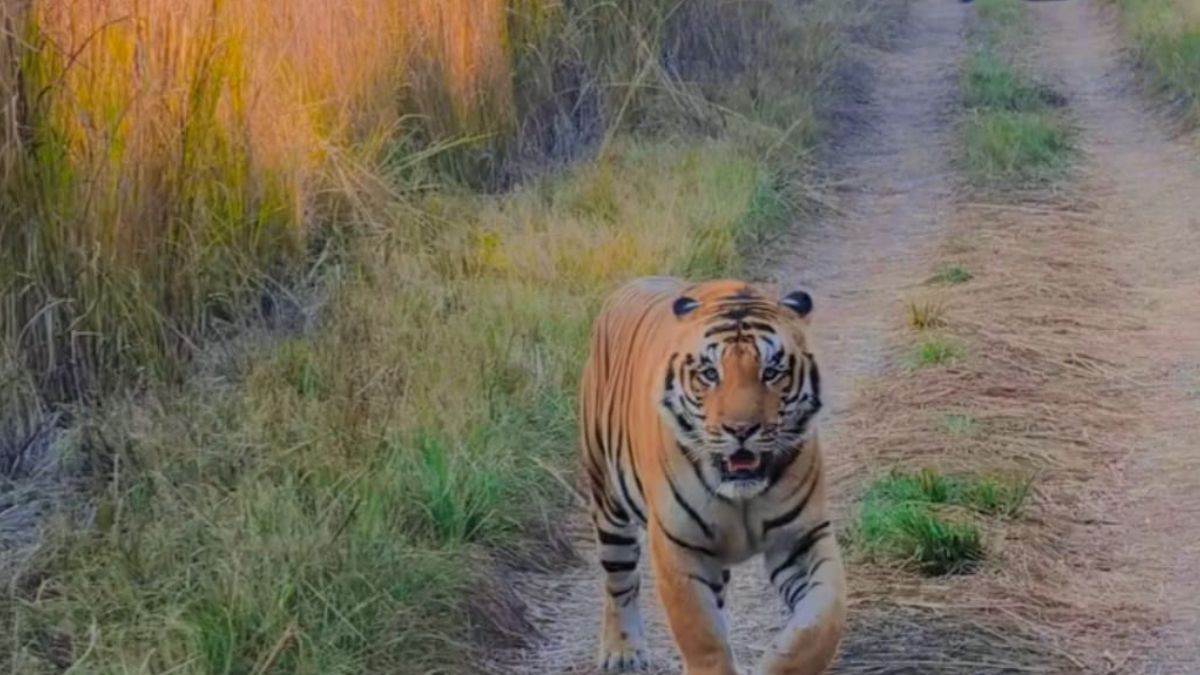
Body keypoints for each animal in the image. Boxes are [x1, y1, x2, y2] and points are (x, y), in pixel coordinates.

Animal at [579, 277, 845, 675]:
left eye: (771, 372)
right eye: (709, 374)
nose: (741, 429)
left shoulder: (802, 538)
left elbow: (820, 623)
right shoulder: (679, 546)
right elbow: (701, 635)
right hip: (608, 499)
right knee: (620, 579)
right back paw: (622, 652)